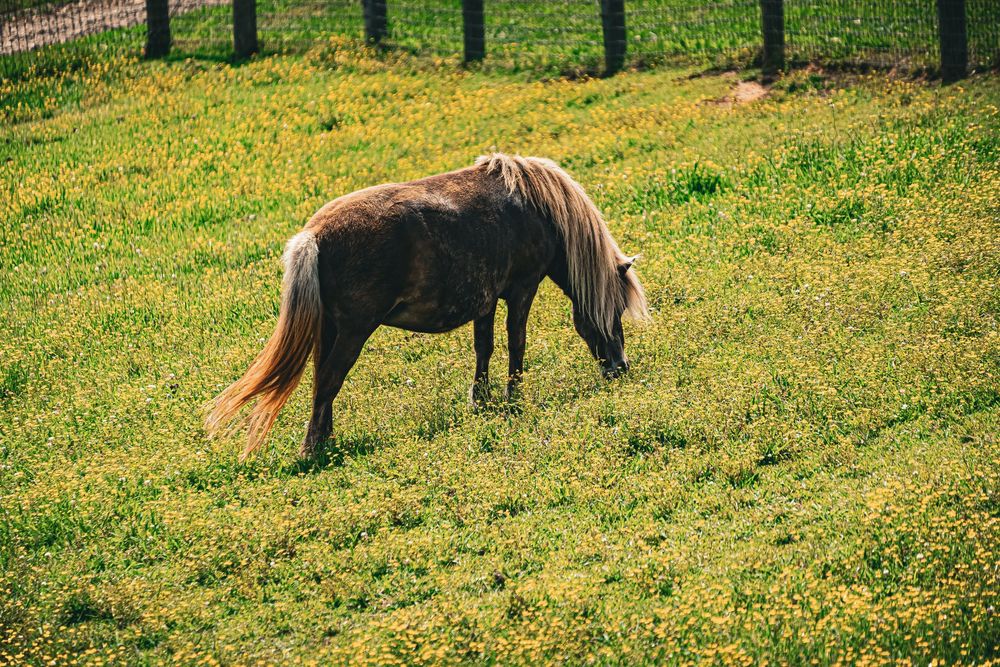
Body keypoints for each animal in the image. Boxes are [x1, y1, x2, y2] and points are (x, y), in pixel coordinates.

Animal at [206, 153, 649, 461]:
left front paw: (481, 399)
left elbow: (484, 347)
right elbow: (516, 344)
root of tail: (313, 235)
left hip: (329, 330)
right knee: (330, 377)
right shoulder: (521, 291)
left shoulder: (485, 301)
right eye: (614, 311)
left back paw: (325, 438)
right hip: (353, 331)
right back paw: (314, 447)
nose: (619, 367)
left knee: (321, 381)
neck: (536, 208)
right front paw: (513, 396)